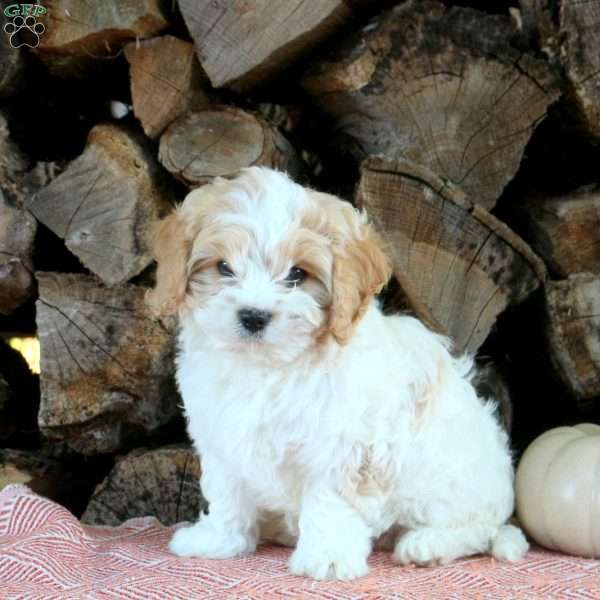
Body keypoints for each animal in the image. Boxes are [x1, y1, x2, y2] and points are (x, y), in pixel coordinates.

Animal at [148, 166, 528, 580]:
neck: (269, 366)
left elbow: (330, 502)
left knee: (478, 527)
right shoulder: (223, 439)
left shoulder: (346, 448)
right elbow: (227, 494)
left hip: (454, 480)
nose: (253, 316)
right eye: (223, 267)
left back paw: (427, 544)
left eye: (297, 274)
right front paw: (218, 540)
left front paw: (327, 557)